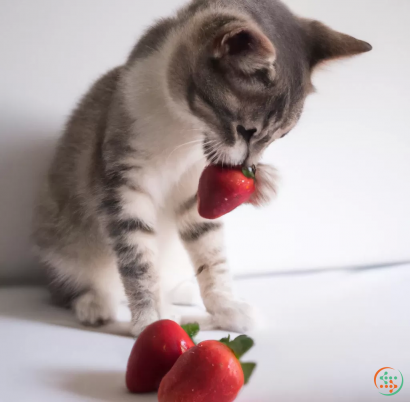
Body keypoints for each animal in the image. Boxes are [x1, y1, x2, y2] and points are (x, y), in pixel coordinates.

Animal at [32, 0, 372, 336]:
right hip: (63, 243)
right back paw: (94, 303)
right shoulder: (123, 182)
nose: (248, 165)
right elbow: (138, 255)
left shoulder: (196, 188)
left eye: (281, 136)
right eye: (246, 130)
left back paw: (180, 293)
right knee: (72, 281)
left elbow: (210, 248)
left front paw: (226, 306)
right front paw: (149, 318)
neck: (181, 128)